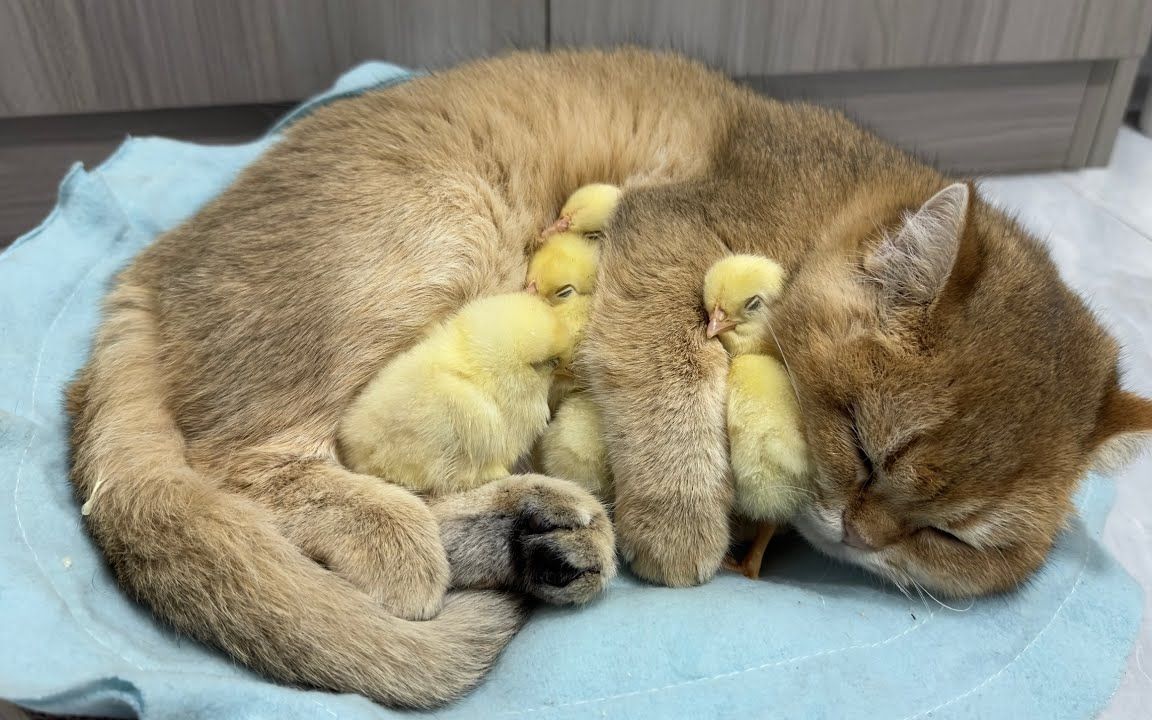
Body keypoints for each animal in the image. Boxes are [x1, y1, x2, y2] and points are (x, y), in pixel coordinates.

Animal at [65, 50, 1152, 709]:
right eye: (863, 446)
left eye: (948, 539)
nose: (861, 537)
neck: (837, 199)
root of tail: (141, 273)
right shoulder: (663, 239)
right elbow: (669, 384)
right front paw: (683, 528)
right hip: (436, 230)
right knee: (249, 463)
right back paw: (413, 541)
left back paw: (530, 539)